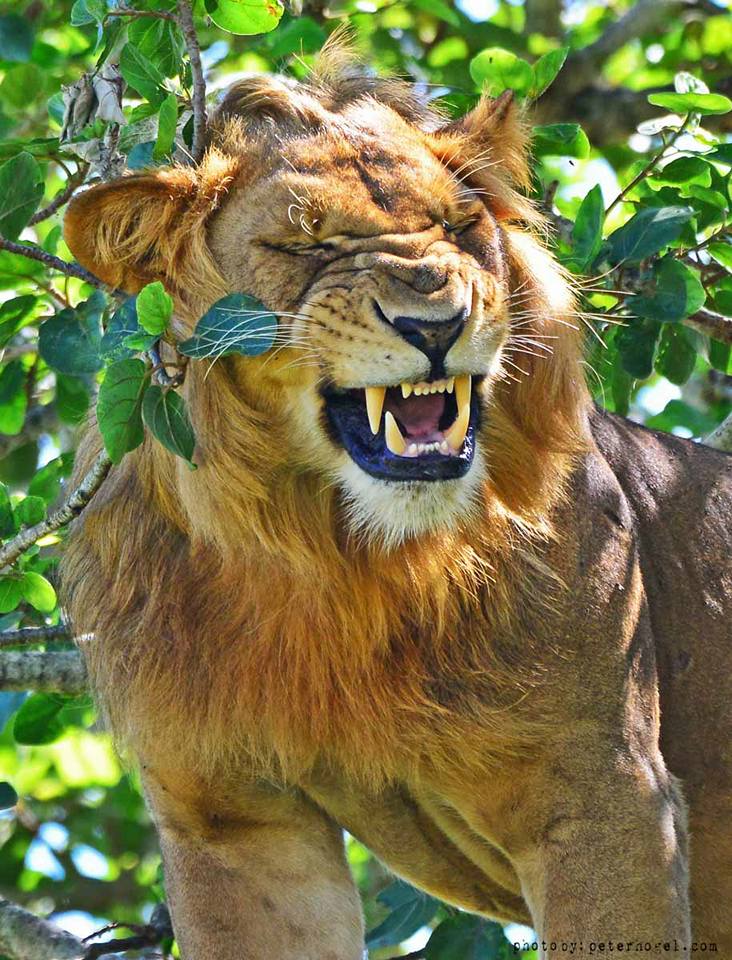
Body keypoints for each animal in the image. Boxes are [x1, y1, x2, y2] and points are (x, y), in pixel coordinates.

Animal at [61, 42, 732, 960]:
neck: (340, 558)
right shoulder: (231, 820)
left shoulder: (607, 787)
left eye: (458, 228)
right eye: (302, 244)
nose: (435, 322)